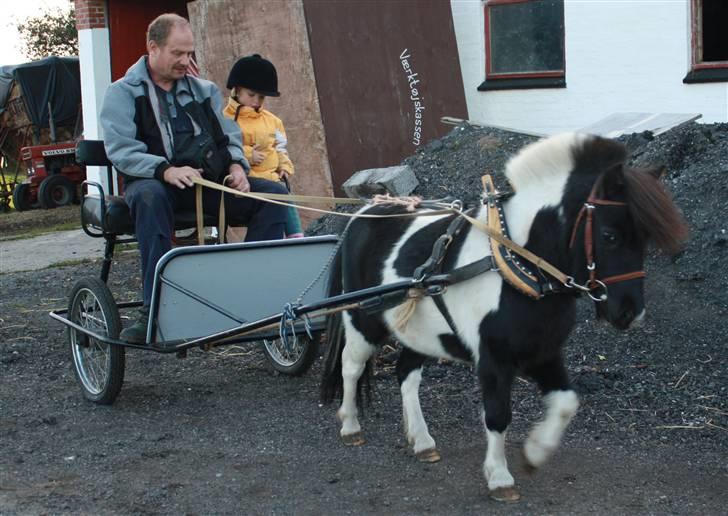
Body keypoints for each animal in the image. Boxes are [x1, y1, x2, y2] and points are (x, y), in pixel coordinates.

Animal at [320, 132, 688, 500]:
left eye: (645, 239)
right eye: (610, 235)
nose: (630, 312)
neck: (512, 263)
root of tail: (365, 212)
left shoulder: (543, 351)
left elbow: (566, 402)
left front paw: (535, 452)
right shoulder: (493, 358)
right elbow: (497, 415)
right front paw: (499, 476)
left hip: (418, 331)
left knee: (406, 375)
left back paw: (422, 441)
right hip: (363, 322)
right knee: (351, 366)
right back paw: (350, 425)